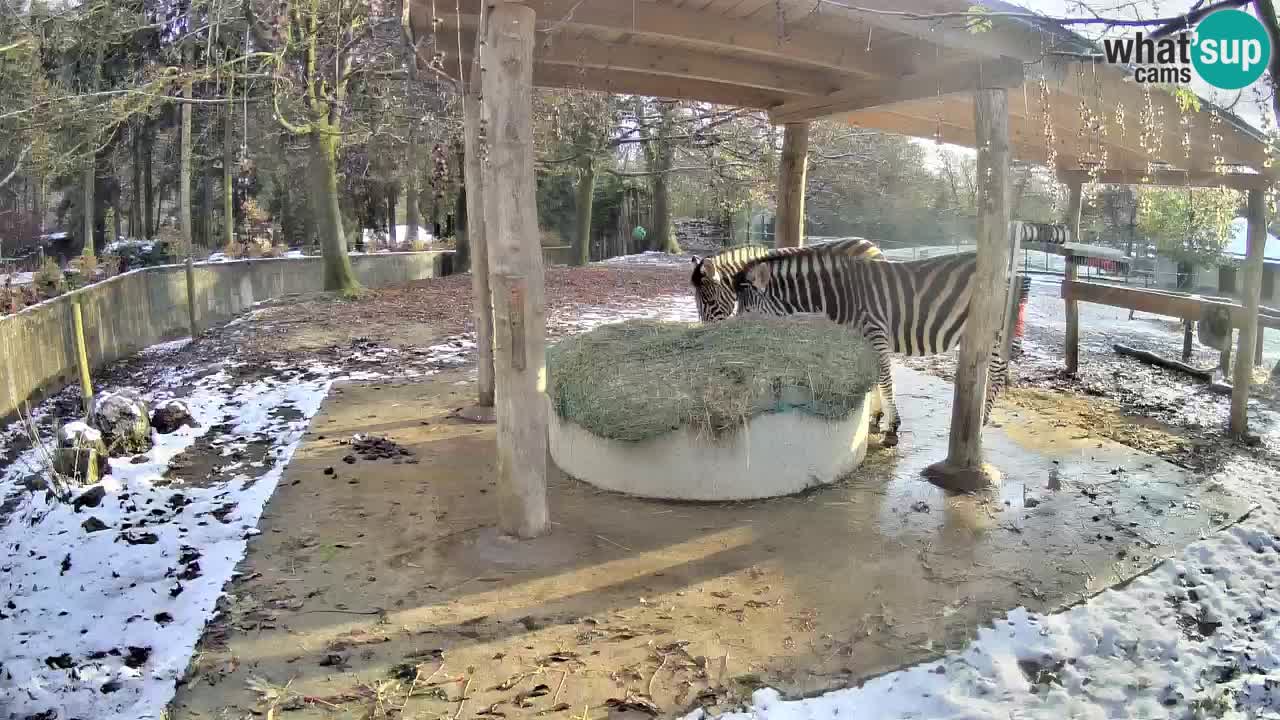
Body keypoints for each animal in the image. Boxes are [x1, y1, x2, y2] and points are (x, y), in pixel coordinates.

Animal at [732, 249, 1018, 445]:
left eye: (747, 312)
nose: (735, 337)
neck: (841, 294)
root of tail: (1005, 272)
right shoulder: (866, 337)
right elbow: (877, 379)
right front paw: (877, 417)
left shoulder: (876, 331)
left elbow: (885, 379)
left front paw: (892, 428)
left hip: (994, 331)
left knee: (996, 375)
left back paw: (981, 422)